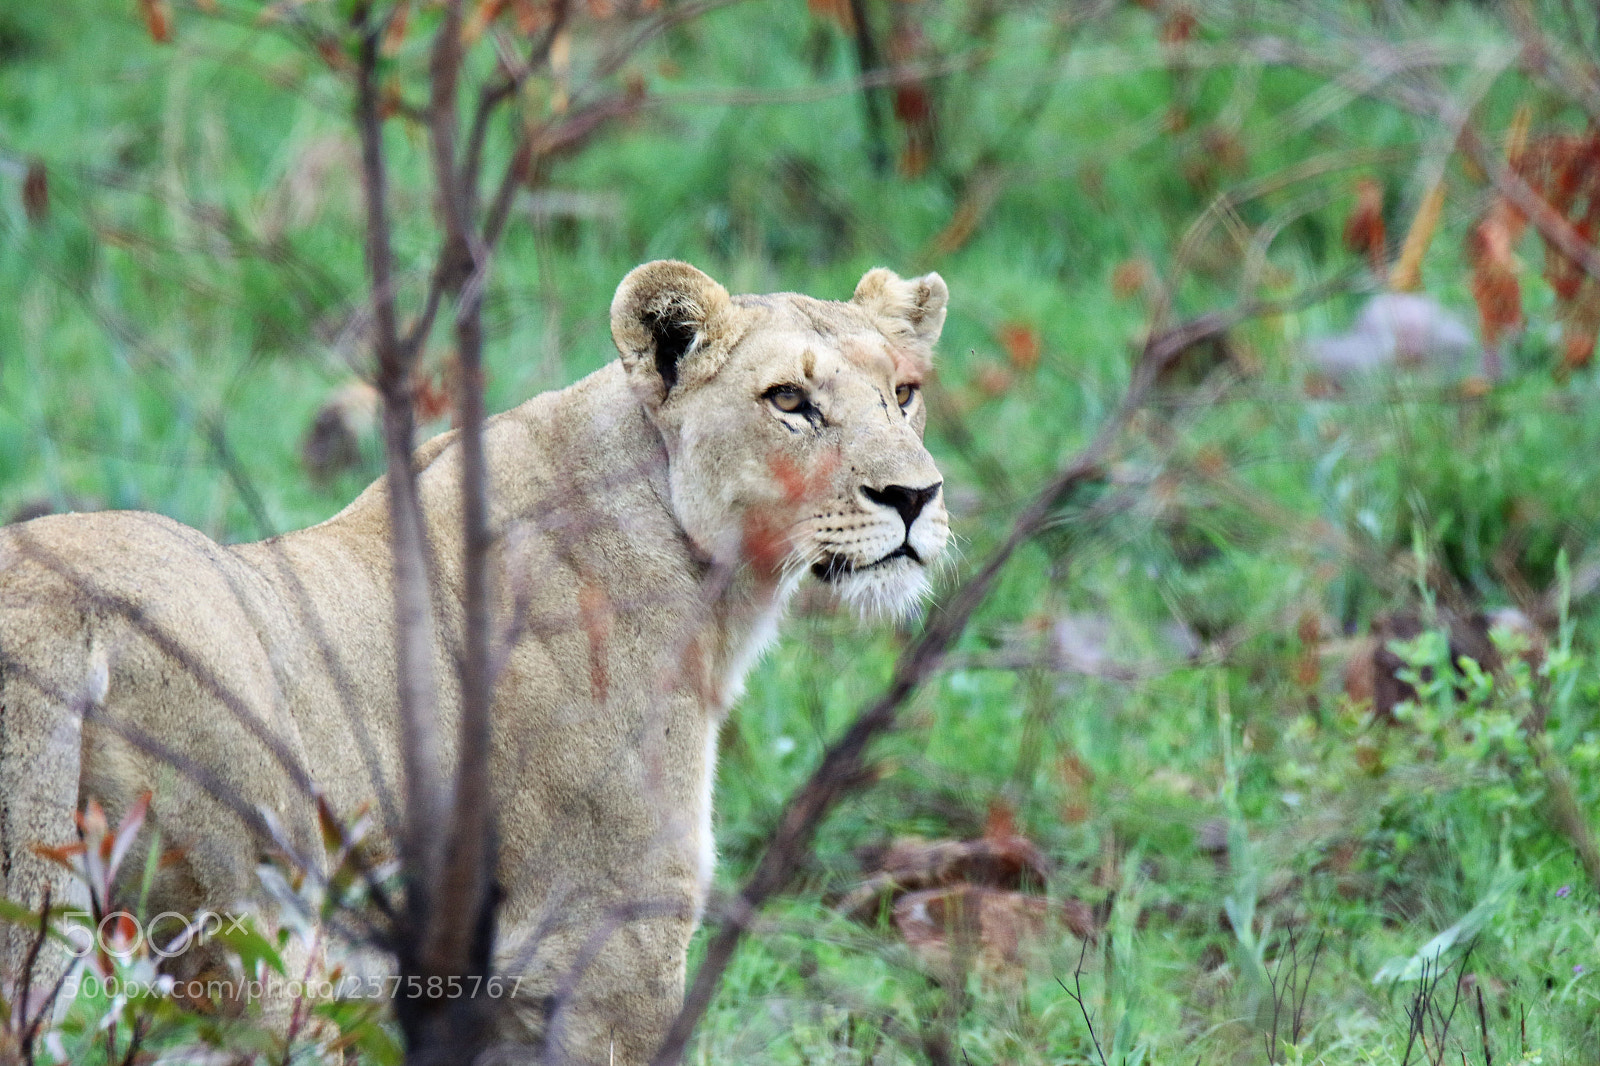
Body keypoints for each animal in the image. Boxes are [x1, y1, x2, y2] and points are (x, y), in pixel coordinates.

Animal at [0, 261, 949, 1063]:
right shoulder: (609, 939)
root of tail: (47, 606)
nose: (915, 497)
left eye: (904, 395)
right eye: (789, 400)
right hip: (255, 929)